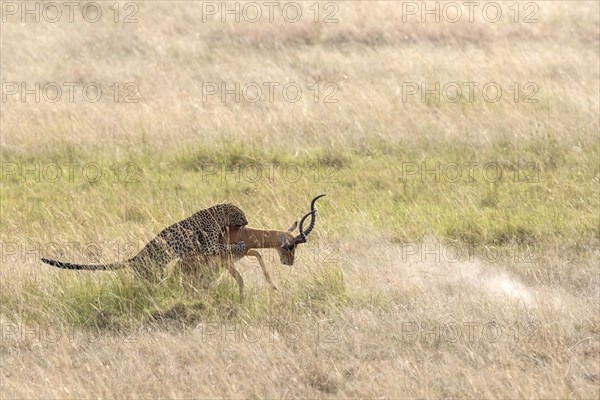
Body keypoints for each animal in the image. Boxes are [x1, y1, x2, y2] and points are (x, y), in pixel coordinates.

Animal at [41, 203, 248, 278]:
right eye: (241, 215)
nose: (247, 222)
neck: (217, 215)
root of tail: (135, 257)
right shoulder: (208, 246)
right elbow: (223, 247)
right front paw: (239, 244)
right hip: (151, 269)